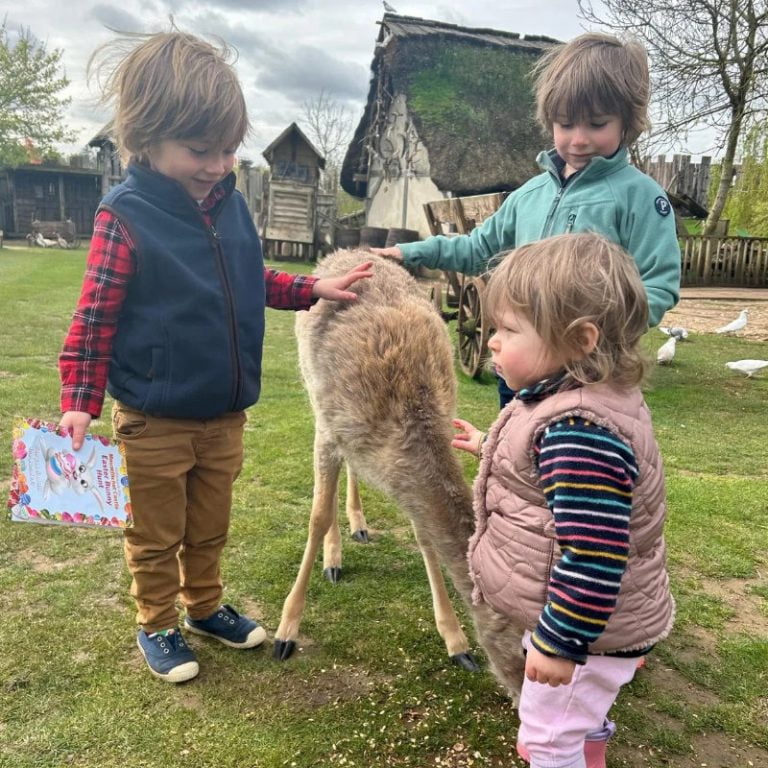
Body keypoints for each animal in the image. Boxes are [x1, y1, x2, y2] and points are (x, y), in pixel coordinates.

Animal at [272, 249, 526, 702]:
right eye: (530, 647)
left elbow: (423, 535)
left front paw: (457, 642)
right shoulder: (329, 429)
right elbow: (317, 516)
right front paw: (285, 632)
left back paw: (358, 526)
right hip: (313, 391)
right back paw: (334, 559)